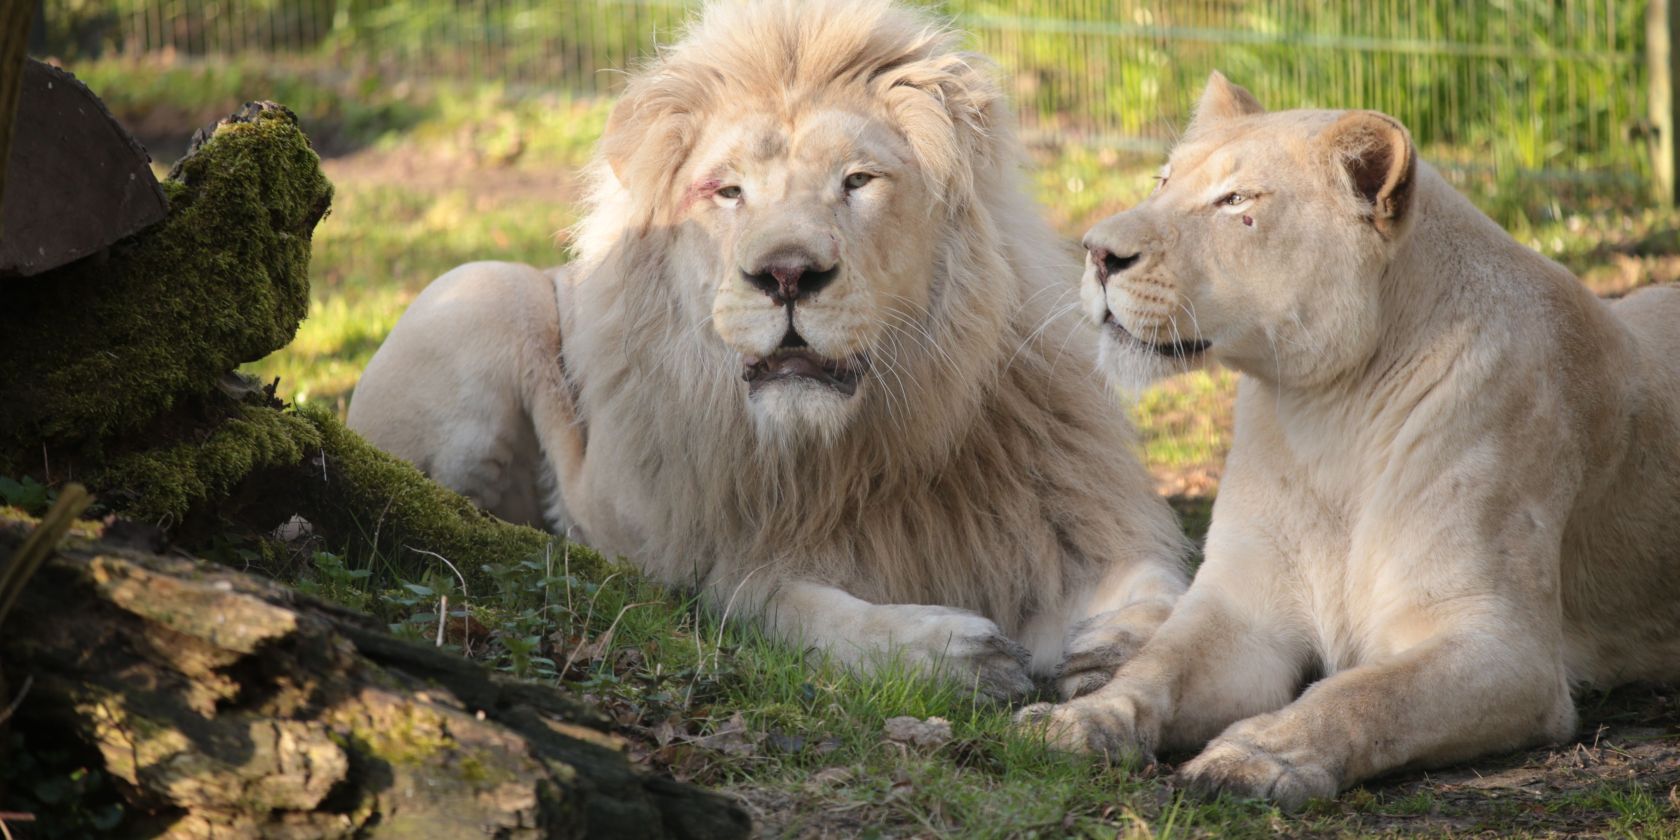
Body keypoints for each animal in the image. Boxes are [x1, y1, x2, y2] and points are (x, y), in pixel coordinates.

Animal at [346, 0, 1189, 699]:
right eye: (727, 191)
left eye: (858, 181)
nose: (787, 274)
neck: (855, 452)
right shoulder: (714, 560)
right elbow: (792, 604)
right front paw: (952, 653)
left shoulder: (1066, 523)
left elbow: (1163, 587)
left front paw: (1116, 650)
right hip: (486, 288)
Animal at [1018, 71, 1680, 807]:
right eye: (1162, 181)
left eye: (1235, 200)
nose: (1097, 252)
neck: (1329, 416)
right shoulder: (1244, 608)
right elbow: (1157, 665)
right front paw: (1081, 718)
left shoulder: (1506, 648)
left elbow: (1367, 695)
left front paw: (1259, 754)